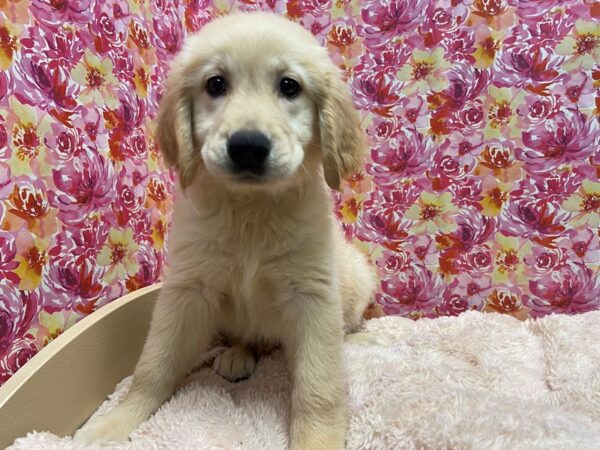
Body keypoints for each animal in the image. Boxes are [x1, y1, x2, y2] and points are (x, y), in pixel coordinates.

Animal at [74, 11, 376, 450]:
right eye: (216, 84)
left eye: (290, 86)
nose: (248, 146)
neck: (250, 209)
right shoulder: (188, 290)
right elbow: (152, 365)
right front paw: (113, 423)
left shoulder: (313, 297)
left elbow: (319, 387)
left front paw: (317, 440)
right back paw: (239, 353)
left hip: (357, 274)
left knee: (348, 324)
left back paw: (354, 337)